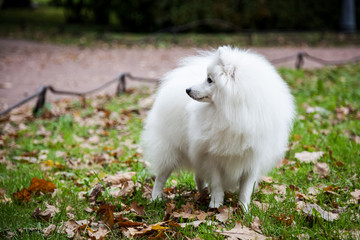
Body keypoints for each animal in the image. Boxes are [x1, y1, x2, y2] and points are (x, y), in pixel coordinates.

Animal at [141, 46, 296, 210]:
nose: (187, 89)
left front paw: (244, 209)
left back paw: (202, 193)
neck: (232, 112)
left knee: (197, 175)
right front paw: (216, 205)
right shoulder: (212, 156)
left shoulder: (252, 159)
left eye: (209, 80)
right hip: (170, 150)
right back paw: (156, 199)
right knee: (161, 177)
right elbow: (216, 184)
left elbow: (246, 188)